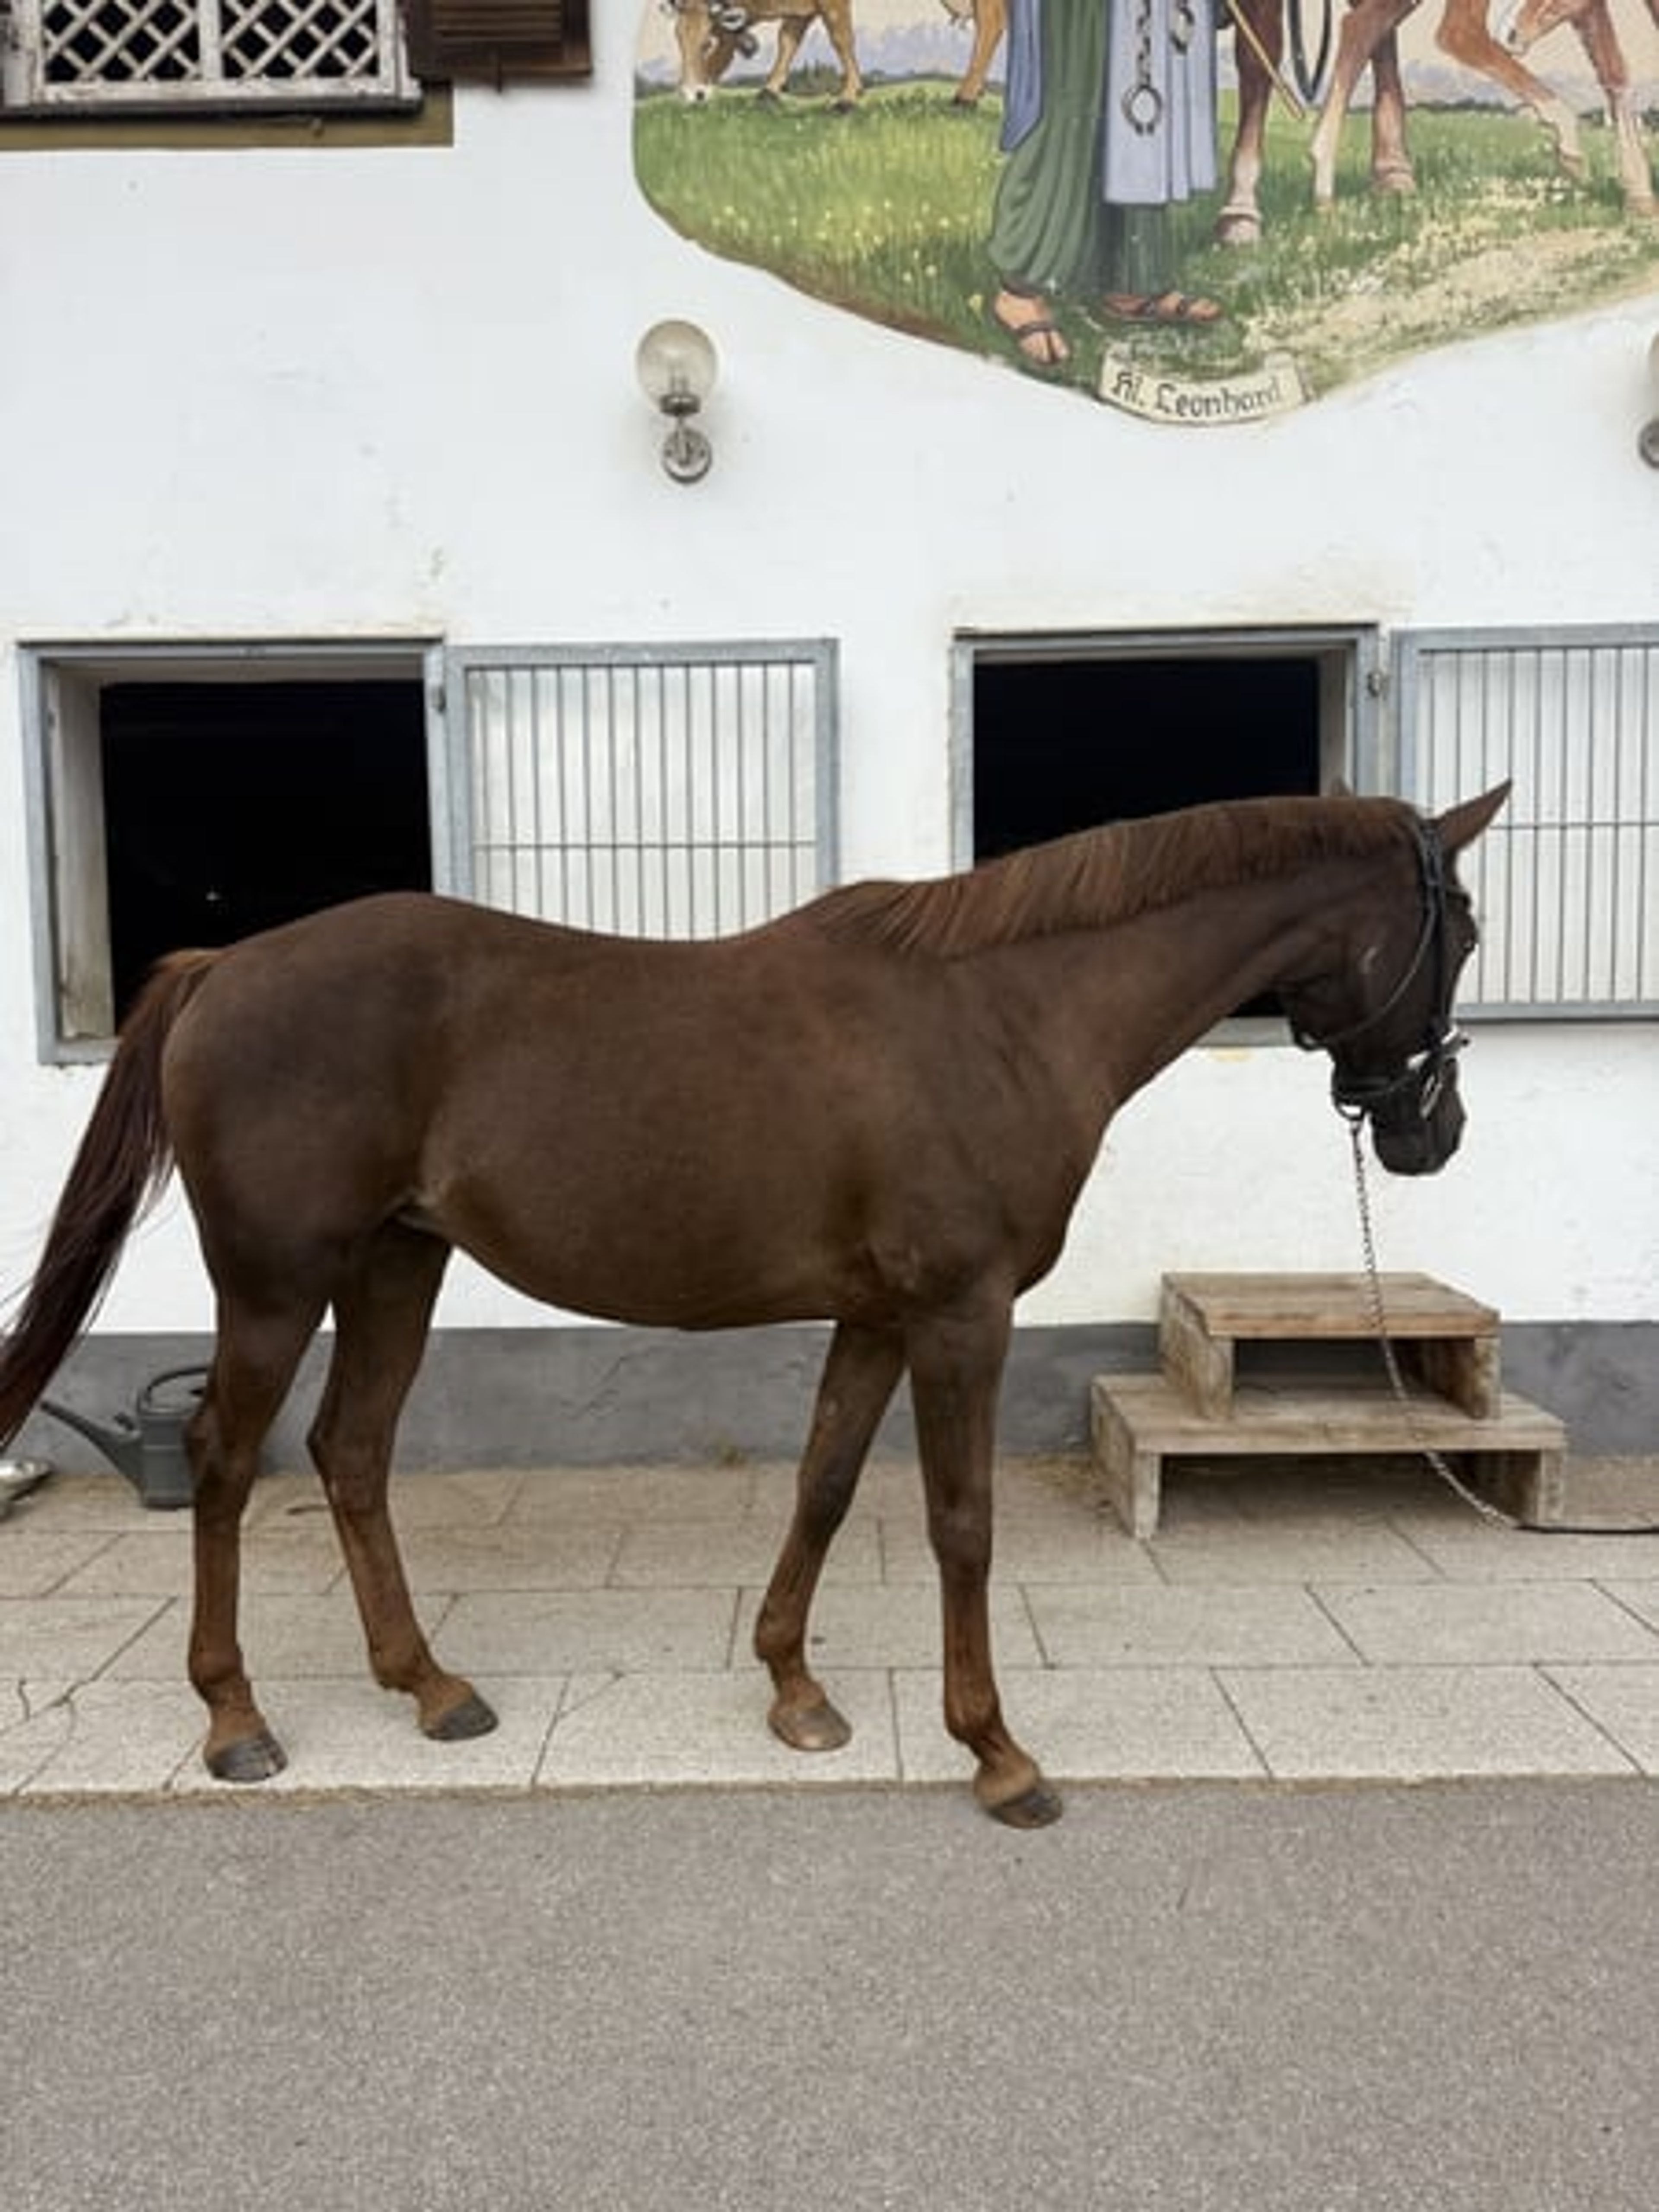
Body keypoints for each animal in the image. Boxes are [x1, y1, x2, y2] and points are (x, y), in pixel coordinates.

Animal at [0, 786, 1507, 1826]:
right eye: (1466, 931)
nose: (1433, 1133)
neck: (1008, 1012)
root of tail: (223, 967)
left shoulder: (879, 1315)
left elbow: (825, 1484)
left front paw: (794, 1688)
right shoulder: (960, 1314)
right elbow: (961, 1524)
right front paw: (997, 1752)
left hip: (394, 1265)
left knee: (350, 1453)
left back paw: (430, 1687)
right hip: (274, 1283)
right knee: (223, 1462)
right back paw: (235, 1718)